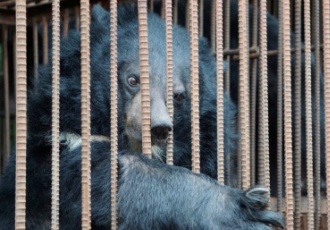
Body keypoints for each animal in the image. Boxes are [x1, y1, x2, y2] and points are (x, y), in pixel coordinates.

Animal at [0, 3, 284, 230]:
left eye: (178, 95)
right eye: (133, 80)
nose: (158, 127)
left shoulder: (208, 144)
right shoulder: (59, 136)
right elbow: (101, 173)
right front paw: (246, 211)